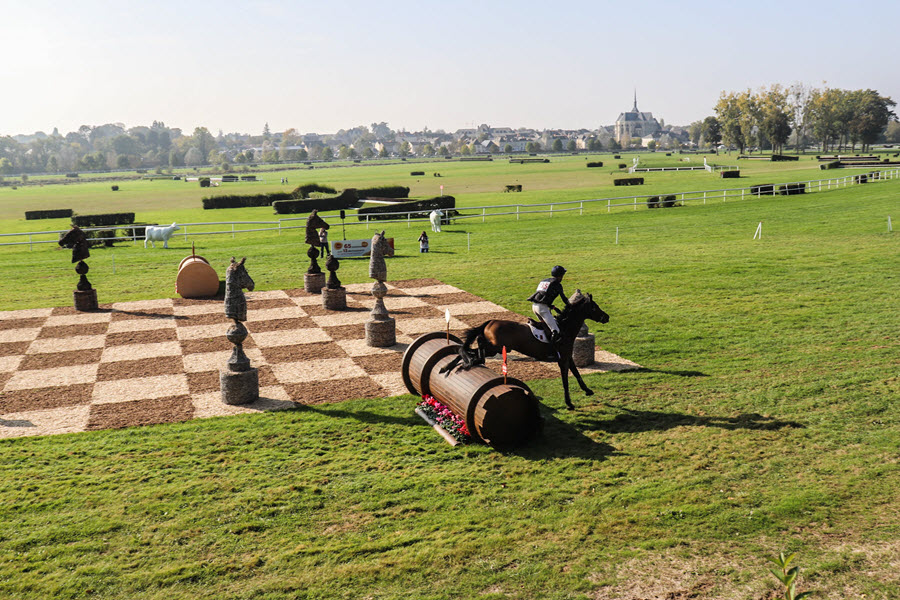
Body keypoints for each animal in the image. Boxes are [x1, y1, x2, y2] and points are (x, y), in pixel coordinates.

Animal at [458, 290, 612, 408]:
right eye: (594, 307)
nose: (607, 317)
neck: (565, 328)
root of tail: (490, 322)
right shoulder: (562, 359)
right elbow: (566, 380)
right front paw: (569, 403)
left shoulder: (567, 356)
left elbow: (576, 373)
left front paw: (587, 390)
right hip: (496, 348)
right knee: (478, 344)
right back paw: (471, 357)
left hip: (497, 348)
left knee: (476, 346)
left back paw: (471, 358)